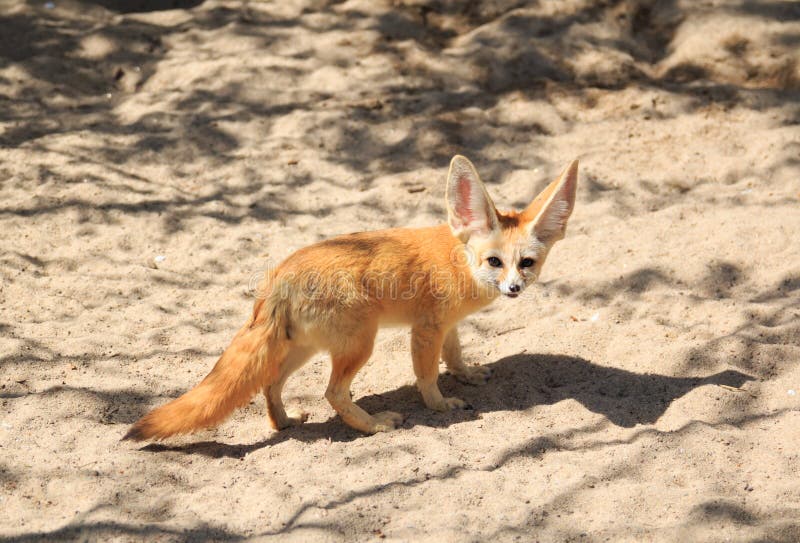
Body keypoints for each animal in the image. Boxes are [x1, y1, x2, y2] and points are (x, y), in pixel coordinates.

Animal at [123, 155, 578, 441]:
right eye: (494, 261)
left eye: (527, 264)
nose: (514, 288)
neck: (457, 259)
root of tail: (280, 275)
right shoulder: (425, 330)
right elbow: (427, 376)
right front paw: (441, 406)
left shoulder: (445, 326)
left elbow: (455, 355)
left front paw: (466, 374)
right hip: (360, 345)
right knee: (333, 394)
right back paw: (374, 425)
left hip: (304, 349)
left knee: (270, 384)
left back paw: (284, 422)